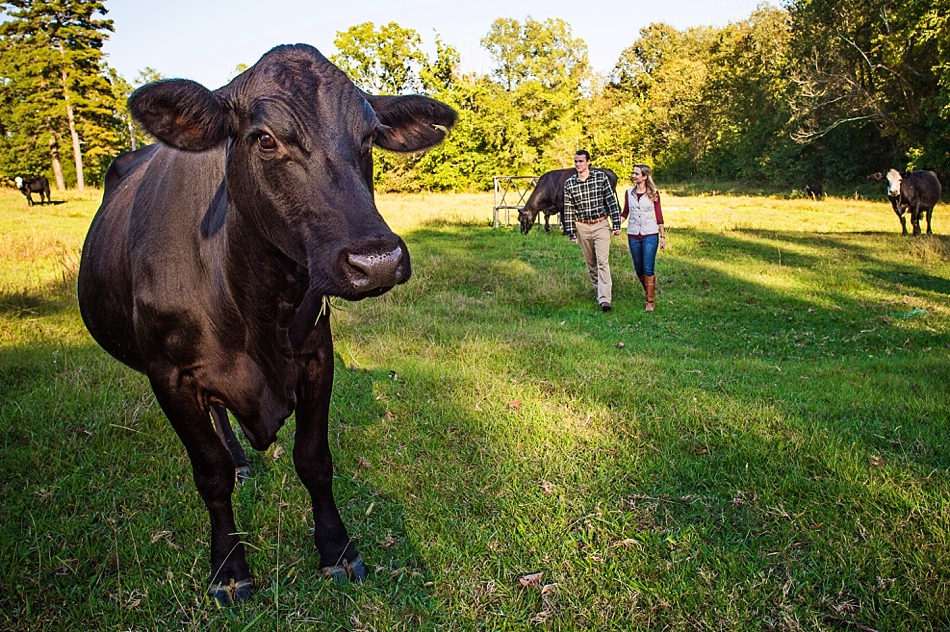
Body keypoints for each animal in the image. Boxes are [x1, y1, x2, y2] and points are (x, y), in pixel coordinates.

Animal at [78, 42, 458, 604]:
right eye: (264, 139)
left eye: (369, 137)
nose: (376, 261)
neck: (254, 309)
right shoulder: (169, 376)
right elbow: (209, 473)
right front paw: (229, 567)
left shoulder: (317, 355)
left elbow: (314, 459)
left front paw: (337, 550)